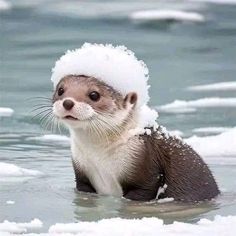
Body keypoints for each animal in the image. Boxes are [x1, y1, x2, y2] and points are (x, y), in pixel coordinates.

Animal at [51, 75, 219, 201]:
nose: (68, 102)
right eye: (60, 90)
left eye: (94, 94)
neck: (100, 158)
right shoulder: (81, 173)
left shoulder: (145, 166)